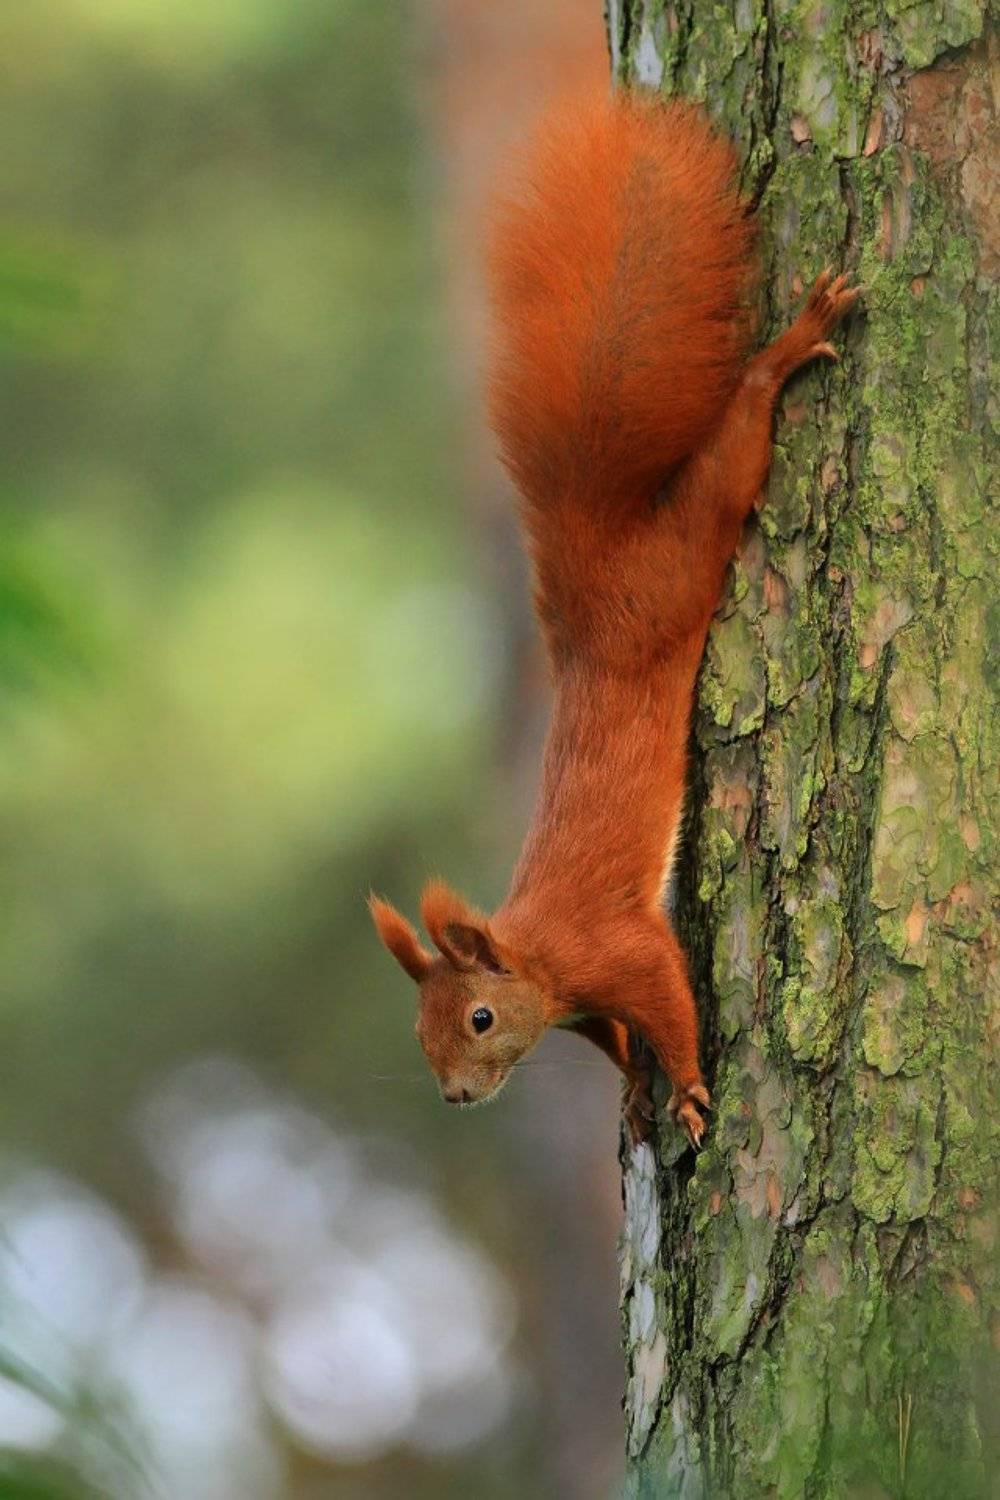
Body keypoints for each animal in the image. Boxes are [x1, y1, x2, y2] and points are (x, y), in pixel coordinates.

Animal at [370, 88, 858, 1149]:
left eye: (479, 1017)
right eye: (419, 1032)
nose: (456, 1097)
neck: (542, 958)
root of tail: (594, 583)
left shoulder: (619, 947)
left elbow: (668, 1001)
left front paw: (687, 1084)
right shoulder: (584, 1006)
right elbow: (619, 1039)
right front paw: (636, 1088)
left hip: (680, 559)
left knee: (730, 455)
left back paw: (787, 350)